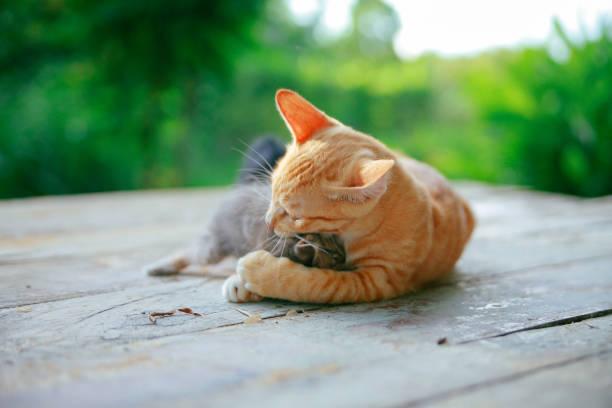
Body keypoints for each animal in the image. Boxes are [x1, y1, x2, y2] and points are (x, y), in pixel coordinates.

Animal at [222, 91, 476, 304]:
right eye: (272, 192)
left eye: (295, 216)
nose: (267, 222)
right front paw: (239, 282)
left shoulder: (379, 279)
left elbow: (316, 283)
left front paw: (258, 272)